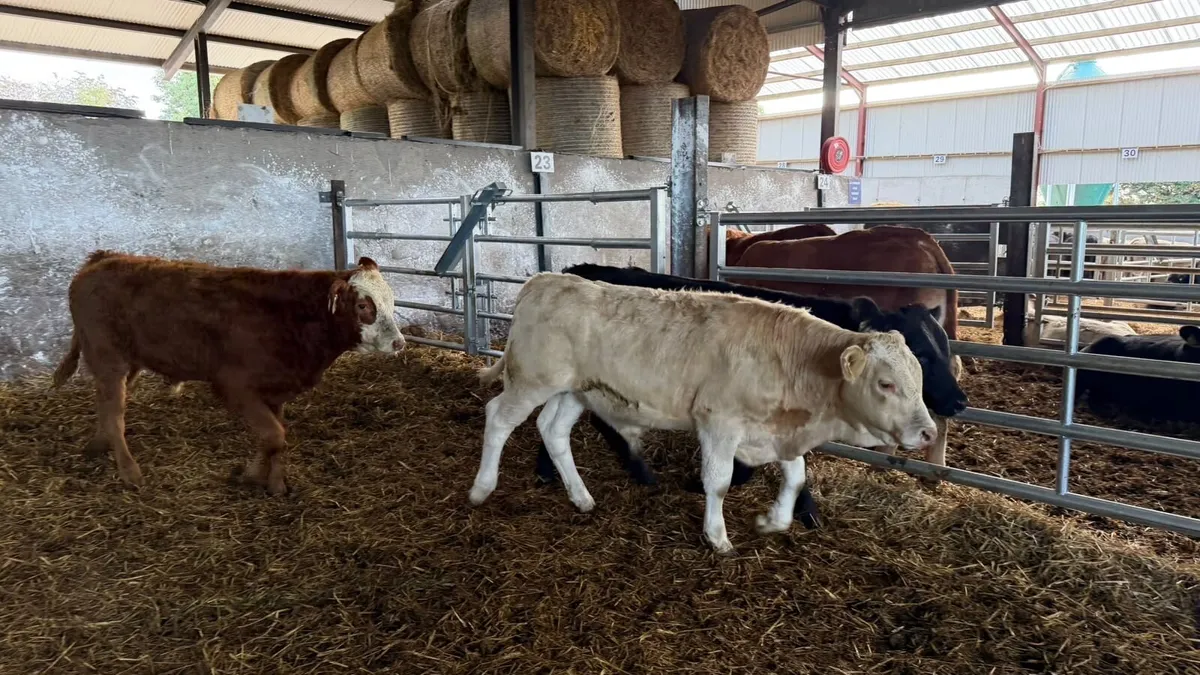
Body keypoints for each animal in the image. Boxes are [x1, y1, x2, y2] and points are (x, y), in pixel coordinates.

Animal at [51, 251, 405, 494]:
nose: (399, 343)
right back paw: (129, 472)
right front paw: (252, 477)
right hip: (108, 357)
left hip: (129, 362)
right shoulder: (235, 387)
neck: (290, 319)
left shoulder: (275, 389)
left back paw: (98, 446)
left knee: (106, 405)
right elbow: (275, 436)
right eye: (363, 306)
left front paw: (272, 482)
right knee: (115, 416)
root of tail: (103, 258)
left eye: (391, 300)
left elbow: (275, 438)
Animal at [470, 272, 936, 554]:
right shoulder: (719, 423)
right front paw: (718, 536)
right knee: (498, 418)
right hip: (531, 381)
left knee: (552, 430)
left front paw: (774, 520)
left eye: (920, 376)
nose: (928, 432)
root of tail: (547, 279)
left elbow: (796, 476)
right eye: (886, 384)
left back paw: (582, 497)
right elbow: (719, 482)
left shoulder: (778, 430)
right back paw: (481, 489)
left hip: (574, 392)